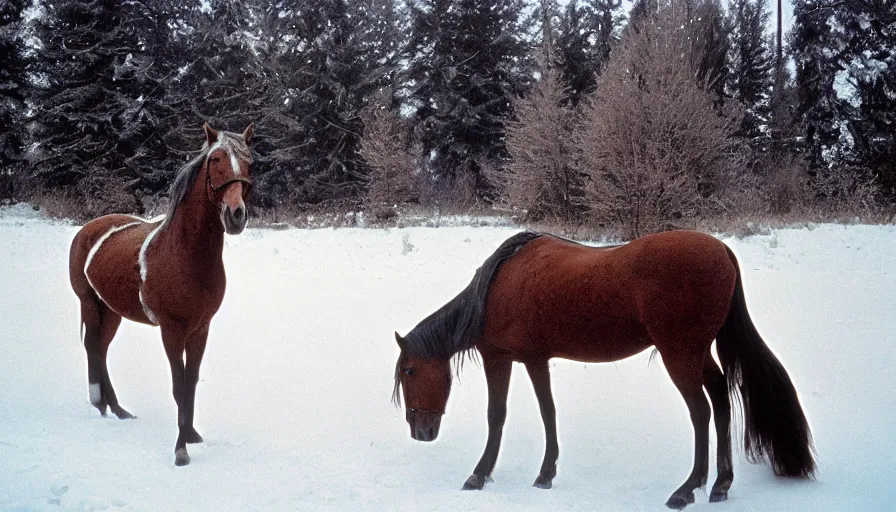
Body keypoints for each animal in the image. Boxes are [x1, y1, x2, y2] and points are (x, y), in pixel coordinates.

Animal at [68, 123, 252, 464]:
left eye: (250, 163)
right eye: (216, 159)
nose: (236, 215)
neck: (184, 255)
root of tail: (89, 228)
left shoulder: (200, 330)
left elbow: (191, 383)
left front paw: (191, 435)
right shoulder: (171, 331)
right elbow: (179, 386)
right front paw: (181, 451)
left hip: (111, 310)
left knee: (102, 347)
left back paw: (118, 409)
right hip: (89, 302)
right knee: (92, 346)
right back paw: (100, 402)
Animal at [396, 231, 816, 508]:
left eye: (410, 372)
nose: (419, 431)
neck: (494, 293)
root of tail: (722, 250)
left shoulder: (506, 359)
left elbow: (501, 415)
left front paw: (480, 475)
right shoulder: (532, 360)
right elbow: (546, 412)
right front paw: (545, 473)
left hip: (679, 355)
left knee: (701, 411)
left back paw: (687, 489)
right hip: (697, 354)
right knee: (721, 400)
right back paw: (721, 484)